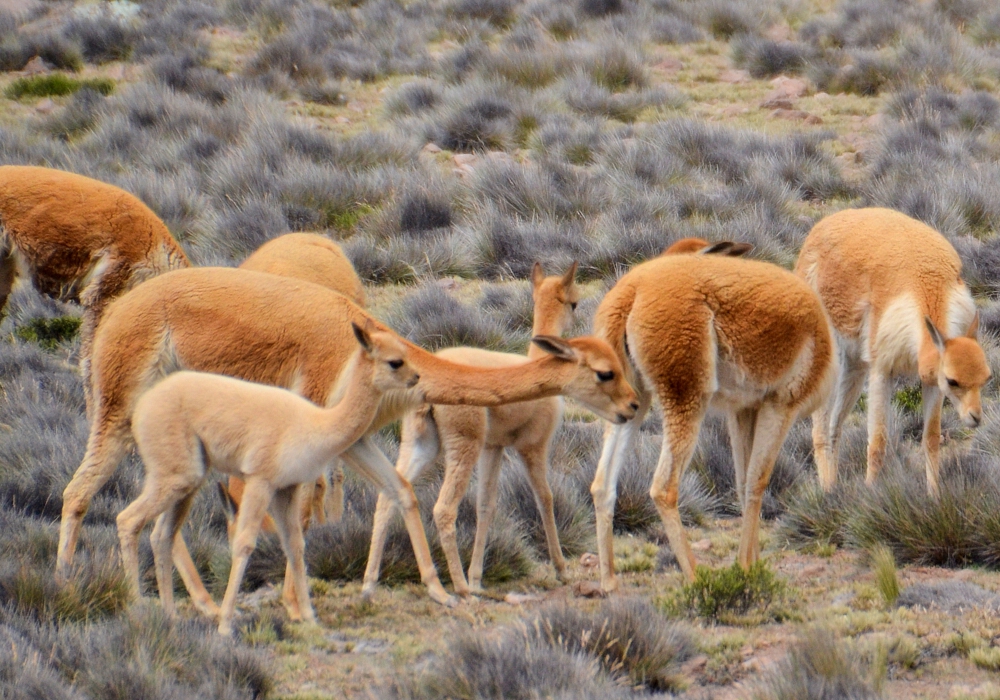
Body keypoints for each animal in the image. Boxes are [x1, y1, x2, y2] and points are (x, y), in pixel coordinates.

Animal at [120, 322, 418, 636]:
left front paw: (309, 617)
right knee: (128, 520)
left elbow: (296, 545)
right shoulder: (260, 480)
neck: (314, 425)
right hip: (175, 475)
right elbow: (244, 544)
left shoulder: (286, 487)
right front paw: (226, 625)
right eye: (395, 362)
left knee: (161, 535)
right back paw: (139, 611)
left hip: (188, 480)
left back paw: (170, 618)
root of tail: (142, 407)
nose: (416, 378)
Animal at [588, 254, 832, 588]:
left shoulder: (744, 408)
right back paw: (696, 577)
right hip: (686, 387)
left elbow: (743, 482)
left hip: (629, 396)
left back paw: (608, 580)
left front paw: (752, 565)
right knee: (663, 488)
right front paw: (745, 567)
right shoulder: (781, 402)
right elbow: (758, 481)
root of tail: (630, 291)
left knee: (602, 484)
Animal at [796, 208, 992, 498]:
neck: (922, 283)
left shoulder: (931, 379)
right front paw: (870, 494)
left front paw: (934, 496)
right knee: (820, 428)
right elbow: (878, 441)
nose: (975, 417)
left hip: (854, 365)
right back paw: (826, 493)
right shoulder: (881, 370)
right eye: (954, 381)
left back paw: (833, 487)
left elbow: (931, 438)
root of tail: (820, 226)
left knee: (834, 425)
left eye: (987, 378)